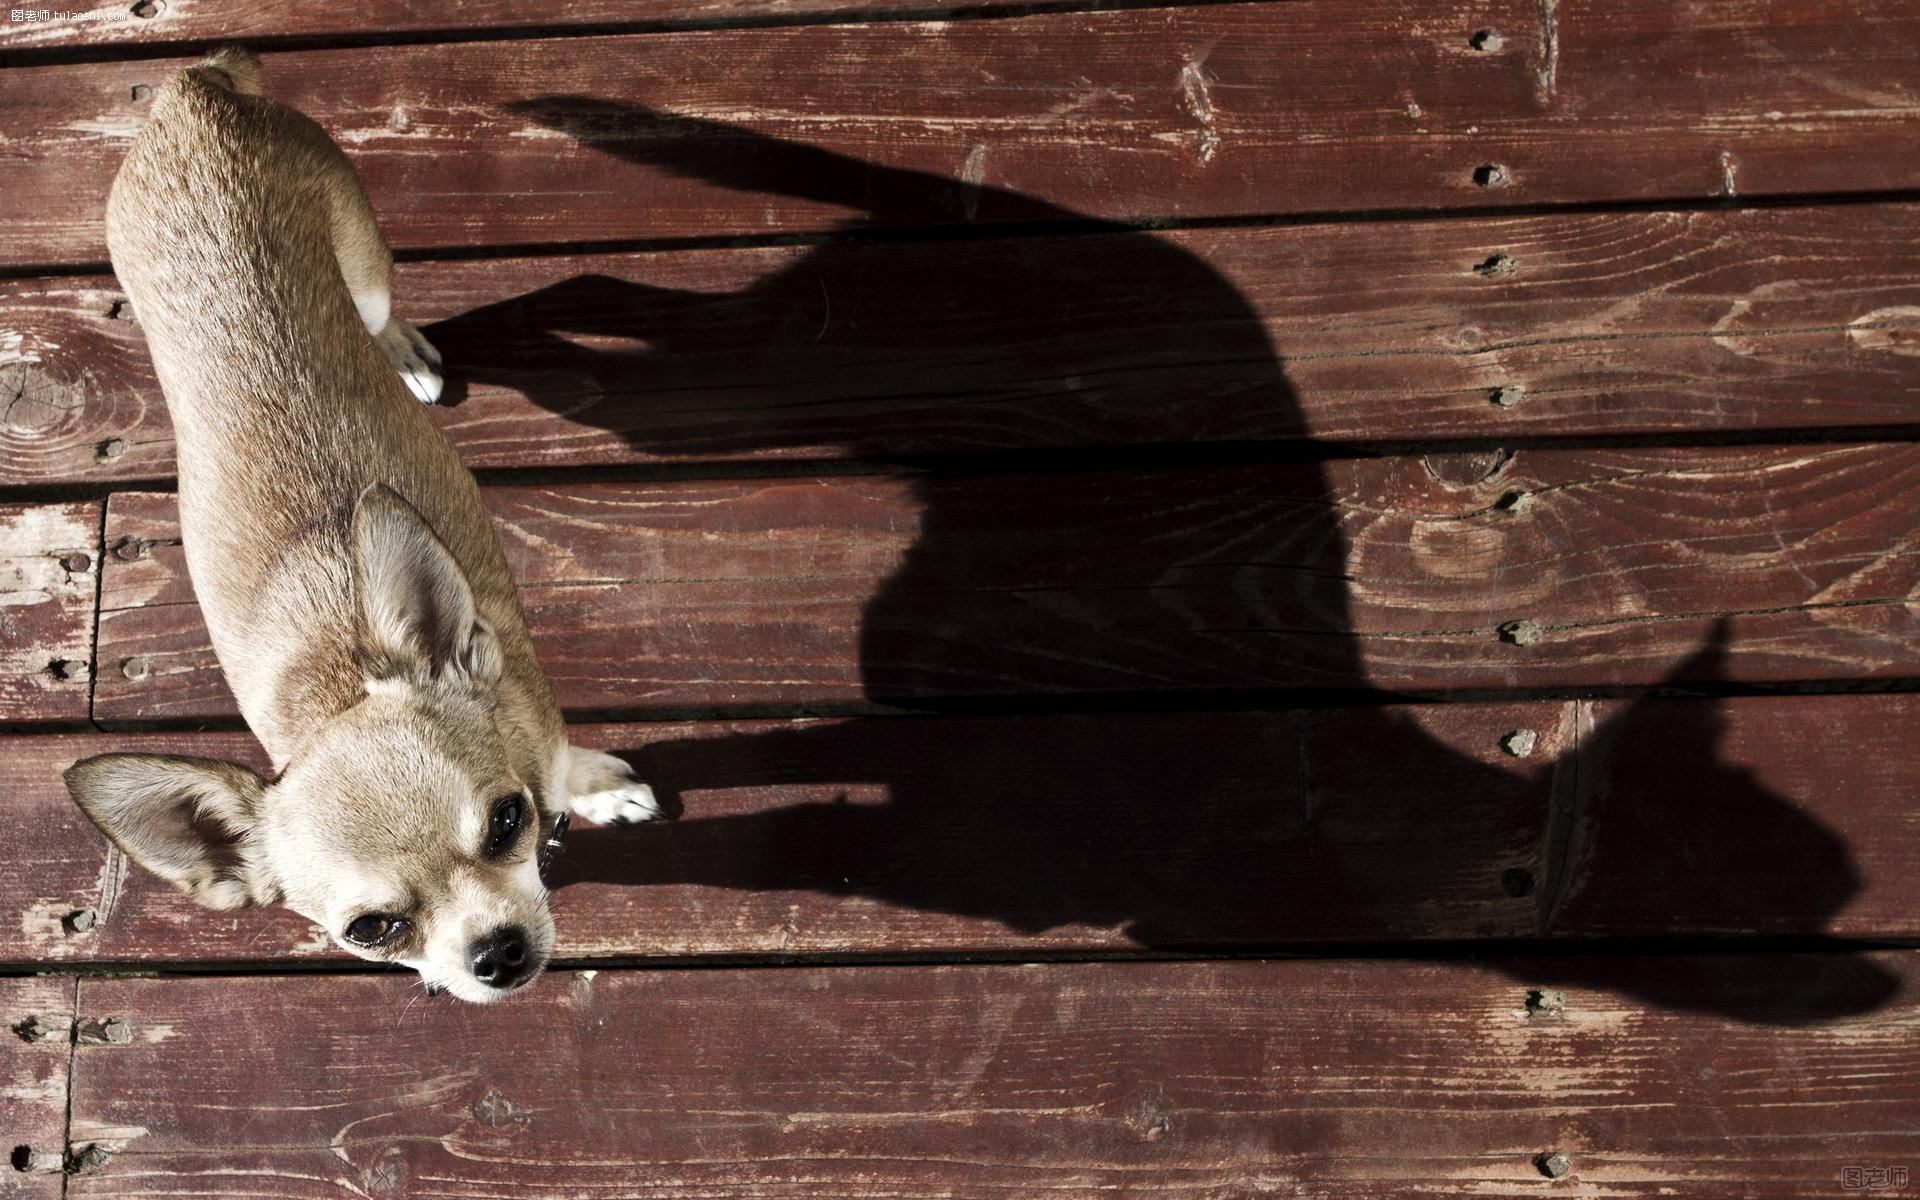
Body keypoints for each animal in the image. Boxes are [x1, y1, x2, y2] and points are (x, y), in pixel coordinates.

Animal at [65, 49, 668, 998]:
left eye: (507, 821)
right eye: (372, 931)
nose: (496, 952)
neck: (334, 685)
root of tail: (189, 92)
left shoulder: (541, 733)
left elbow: (569, 765)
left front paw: (599, 789)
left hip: (368, 270)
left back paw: (409, 353)